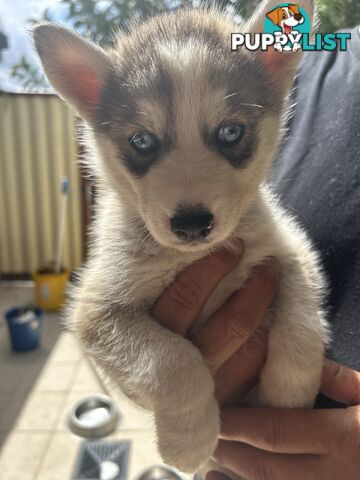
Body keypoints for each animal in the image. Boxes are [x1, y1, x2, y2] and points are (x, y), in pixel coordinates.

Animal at [34, 0, 330, 472]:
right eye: (141, 141)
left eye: (230, 131)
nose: (192, 224)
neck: (191, 257)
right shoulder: (96, 311)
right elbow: (174, 362)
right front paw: (188, 440)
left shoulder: (290, 253)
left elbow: (301, 321)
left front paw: (289, 394)